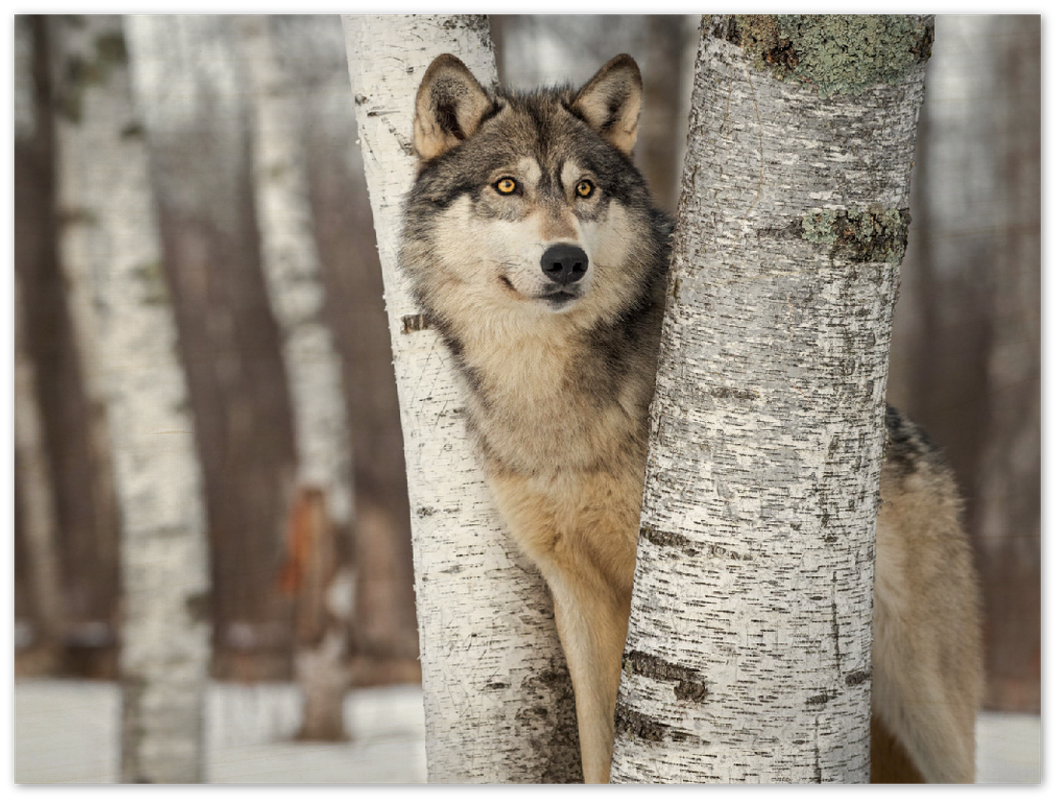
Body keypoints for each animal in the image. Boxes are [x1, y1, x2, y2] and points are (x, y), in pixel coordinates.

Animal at [400, 53, 982, 784]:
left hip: (925, 709)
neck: (549, 397)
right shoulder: (575, 593)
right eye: (507, 185)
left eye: (585, 189)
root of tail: (920, 445)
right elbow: (597, 745)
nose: (565, 260)